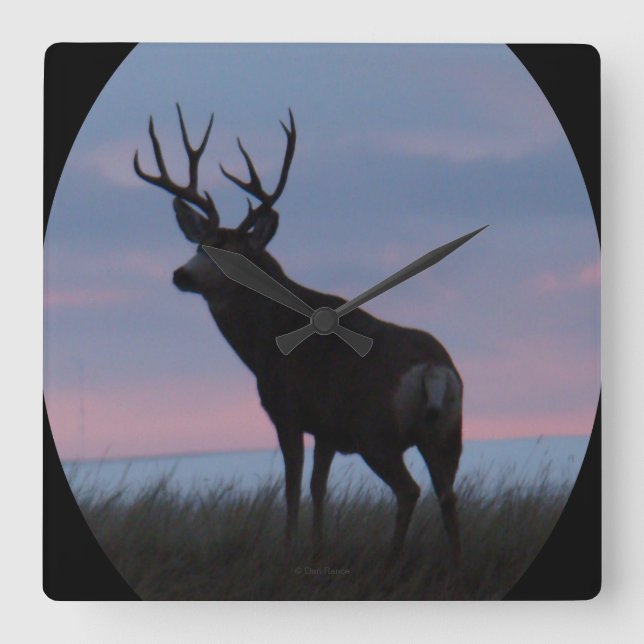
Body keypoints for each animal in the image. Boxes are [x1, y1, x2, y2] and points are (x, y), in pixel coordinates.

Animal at [134, 105, 464, 562]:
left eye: (232, 255)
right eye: (200, 246)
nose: (180, 275)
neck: (266, 341)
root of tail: (434, 369)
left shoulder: (287, 410)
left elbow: (291, 488)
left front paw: (289, 547)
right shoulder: (327, 427)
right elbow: (318, 488)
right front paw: (318, 545)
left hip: (376, 432)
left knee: (410, 491)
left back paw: (393, 558)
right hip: (448, 432)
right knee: (448, 496)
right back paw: (455, 560)